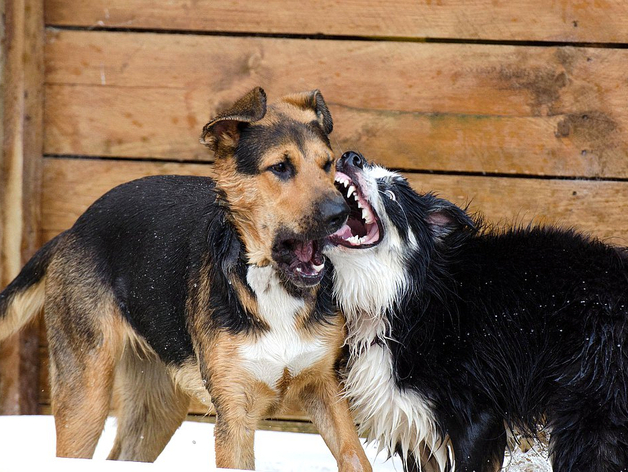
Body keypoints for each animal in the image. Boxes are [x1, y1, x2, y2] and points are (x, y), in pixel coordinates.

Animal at [0, 88, 370, 472]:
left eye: (327, 164)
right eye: (280, 167)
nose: (340, 214)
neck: (268, 282)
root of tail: (72, 229)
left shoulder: (327, 388)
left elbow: (356, 457)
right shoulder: (234, 412)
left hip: (157, 403)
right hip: (85, 394)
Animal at [324, 151, 628, 472]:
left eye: (392, 194)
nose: (351, 157)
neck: (404, 300)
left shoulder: (477, 416)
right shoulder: (411, 425)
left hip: (593, 406)